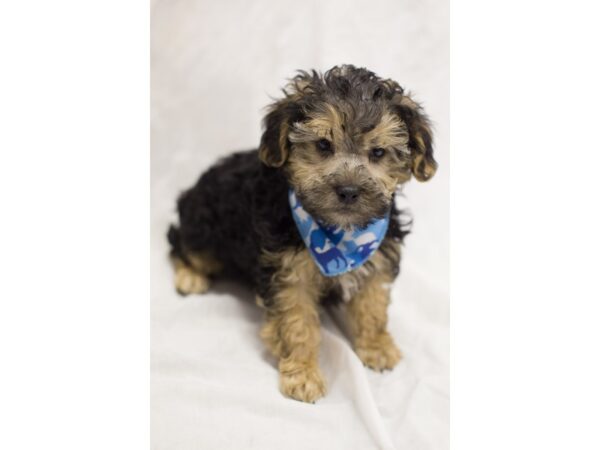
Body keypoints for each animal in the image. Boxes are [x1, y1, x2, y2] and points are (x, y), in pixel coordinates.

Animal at [168, 65, 436, 402]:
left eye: (378, 152)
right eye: (322, 145)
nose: (348, 191)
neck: (339, 234)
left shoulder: (378, 257)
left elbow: (372, 305)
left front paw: (376, 346)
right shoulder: (288, 275)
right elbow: (297, 323)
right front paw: (304, 373)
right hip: (204, 226)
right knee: (179, 242)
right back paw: (190, 276)